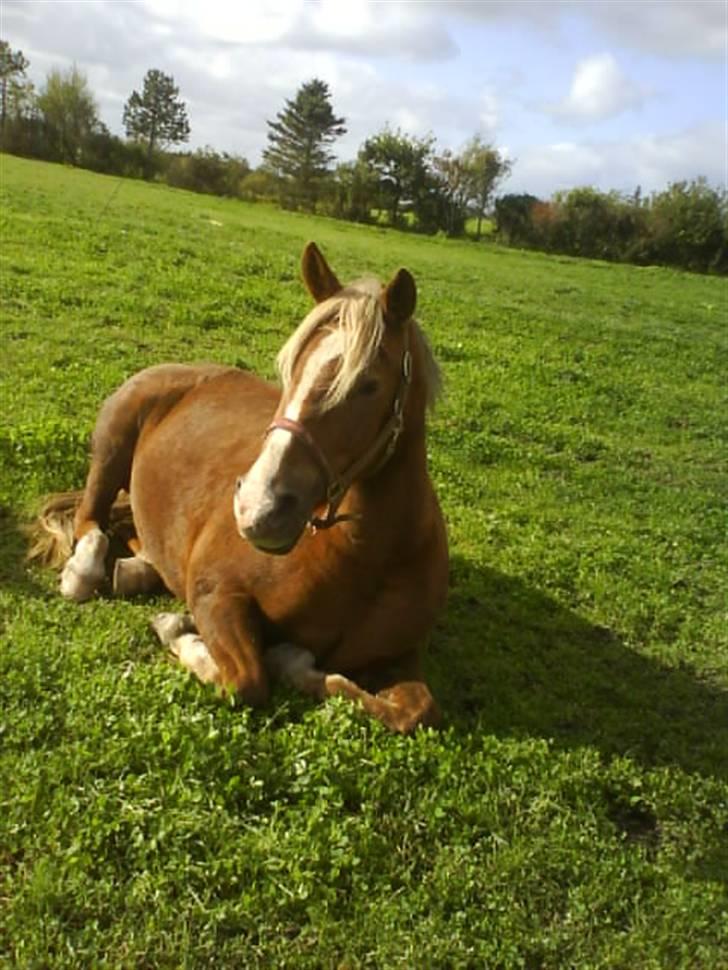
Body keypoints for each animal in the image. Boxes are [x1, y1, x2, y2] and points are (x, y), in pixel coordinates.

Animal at [32, 244, 450, 732]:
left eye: (368, 385)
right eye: (290, 371)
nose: (259, 509)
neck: (364, 556)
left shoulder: (397, 657)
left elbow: (417, 712)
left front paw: (292, 661)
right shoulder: (218, 593)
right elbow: (245, 680)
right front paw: (178, 630)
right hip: (111, 447)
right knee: (90, 523)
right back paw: (84, 572)